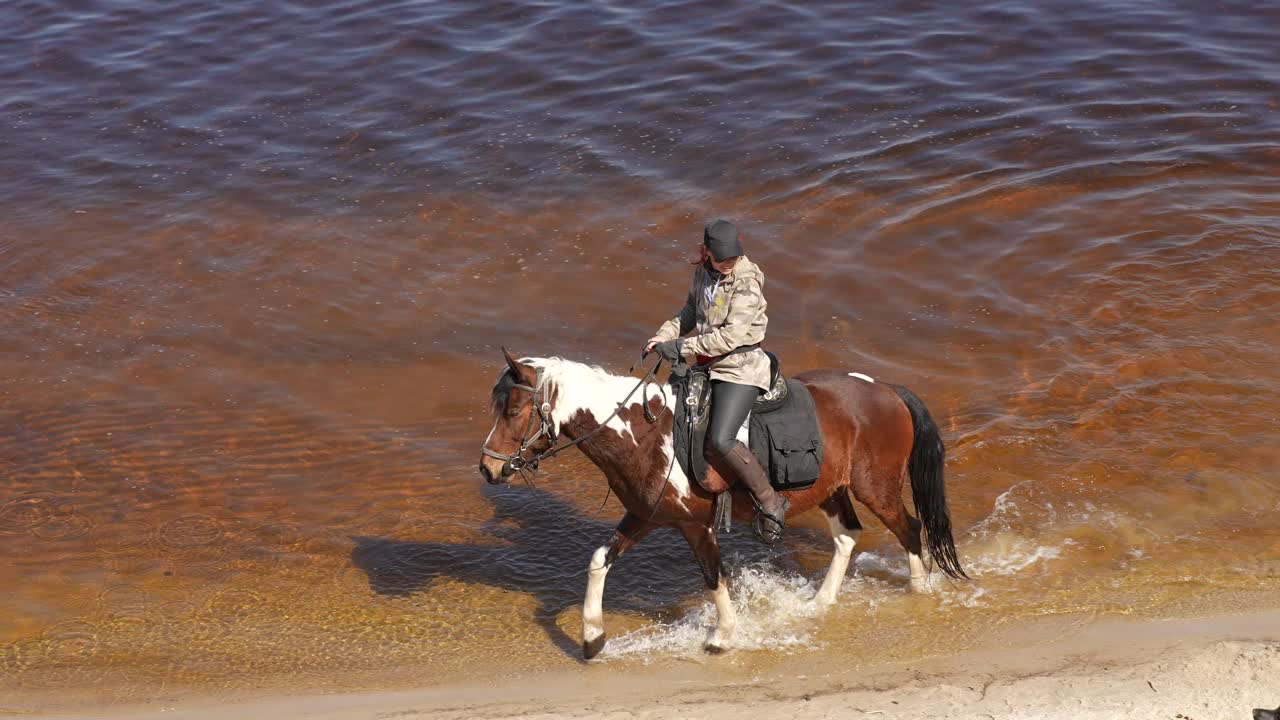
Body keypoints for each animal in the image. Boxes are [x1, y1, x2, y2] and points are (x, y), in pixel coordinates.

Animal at [478, 348, 967, 659]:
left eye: (514, 412)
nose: (487, 468)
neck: (647, 436)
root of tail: (885, 389)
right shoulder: (645, 516)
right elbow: (599, 560)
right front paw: (593, 638)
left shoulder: (697, 526)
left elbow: (713, 577)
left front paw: (722, 637)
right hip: (830, 488)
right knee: (848, 536)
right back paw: (820, 603)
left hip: (875, 488)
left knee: (909, 530)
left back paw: (919, 595)